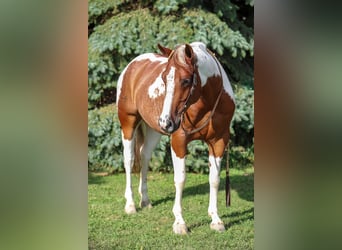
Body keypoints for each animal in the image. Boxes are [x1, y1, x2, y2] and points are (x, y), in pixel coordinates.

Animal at [117, 41, 235, 234]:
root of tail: (132, 65)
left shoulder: (218, 142)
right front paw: (180, 223)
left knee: (144, 157)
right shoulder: (179, 142)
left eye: (186, 80)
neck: (207, 104)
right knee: (129, 160)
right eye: (164, 78)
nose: (166, 122)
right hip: (128, 123)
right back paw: (131, 205)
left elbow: (215, 180)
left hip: (153, 131)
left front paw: (216, 219)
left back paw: (145, 201)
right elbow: (180, 180)